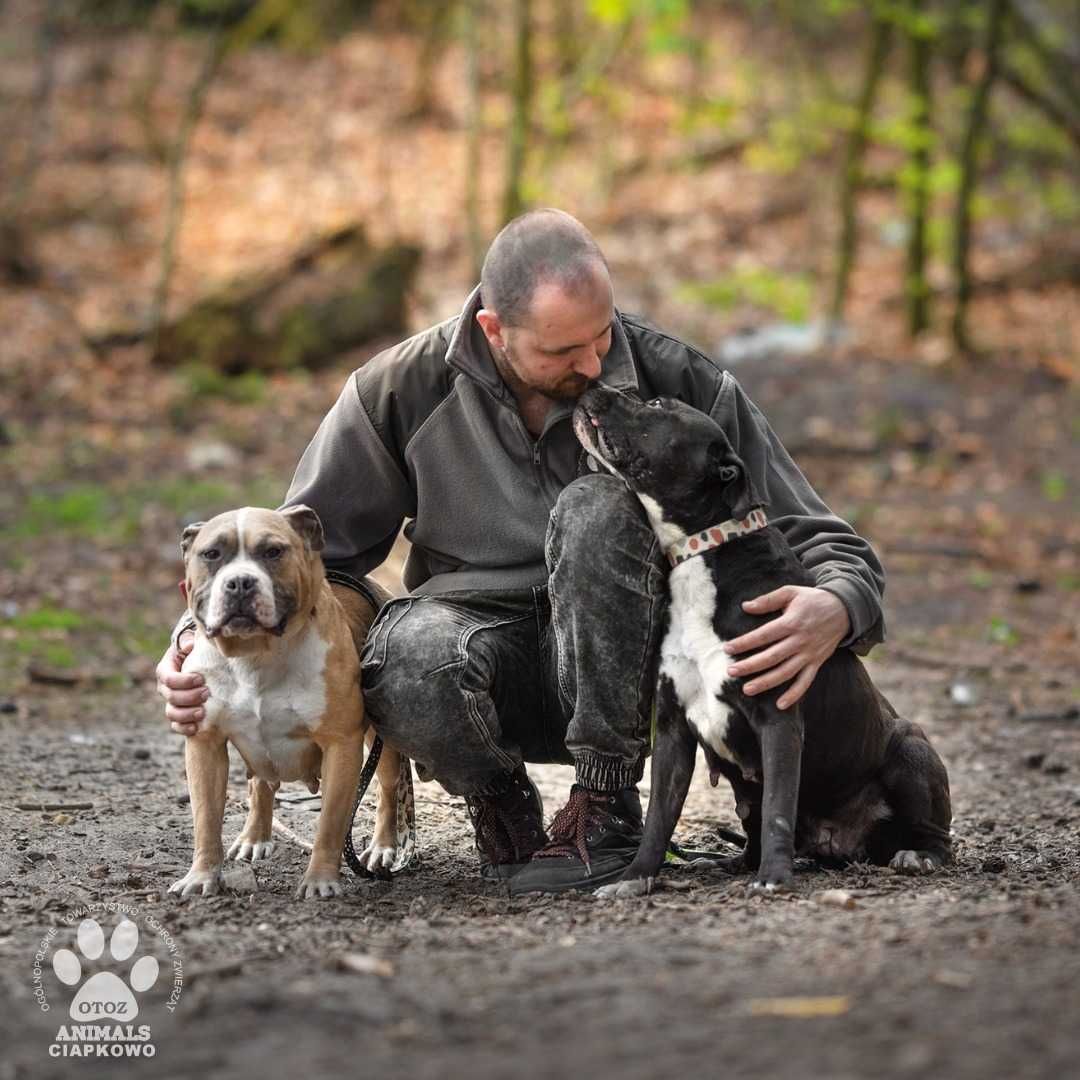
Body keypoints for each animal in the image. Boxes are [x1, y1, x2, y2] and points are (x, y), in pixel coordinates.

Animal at [170, 505, 399, 902]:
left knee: (389, 786)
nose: (240, 583)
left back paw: (386, 845)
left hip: (380, 743)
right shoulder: (204, 744)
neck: (255, 653)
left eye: (273, 552)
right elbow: (206, 819)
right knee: (260, 785)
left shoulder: (341, 745)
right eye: (212, 554)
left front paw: (320, 879)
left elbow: (331, 824)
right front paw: (201, 875)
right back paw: (254, 837)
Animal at [578, 384, 950, 898]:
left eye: (657, 406)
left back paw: (919, 855)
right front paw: (635, 878)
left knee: (936, 834)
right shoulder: (673, 731)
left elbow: (777, 807)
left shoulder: (778, 722)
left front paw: (773, 878)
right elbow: (658, 819)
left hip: (911, 747)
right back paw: (730, 862)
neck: (704, 551)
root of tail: (840, 845)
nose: (593, 386)